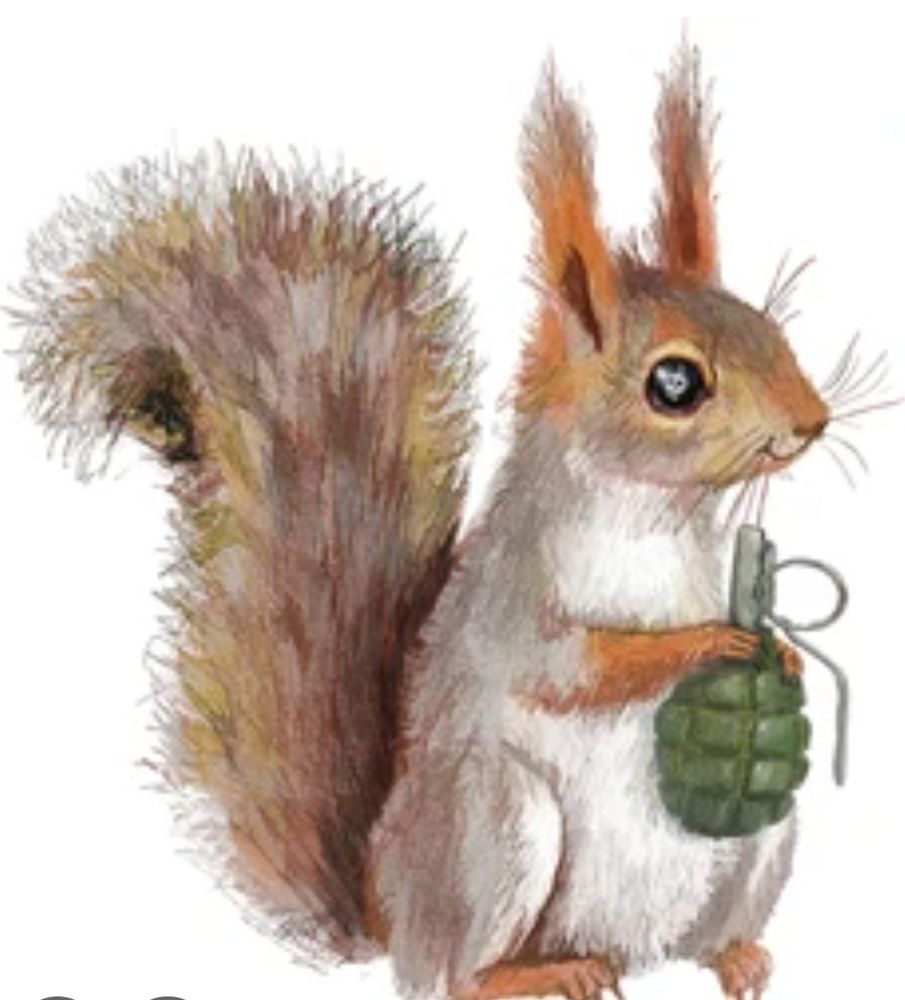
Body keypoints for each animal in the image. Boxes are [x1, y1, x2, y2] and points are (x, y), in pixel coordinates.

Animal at [15, 40, 836, 1000]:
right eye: (674, 384)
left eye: (769, 328)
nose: (811, 421)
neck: (658, 515)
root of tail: (388, 909)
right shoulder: (523, 597)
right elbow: (575, 665)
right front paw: (704, 642)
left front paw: (783, 653)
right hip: (494, 823)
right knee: (452, 976)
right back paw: (540, 973)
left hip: (761, 839)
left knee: (704, 932)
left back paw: (737, 955)